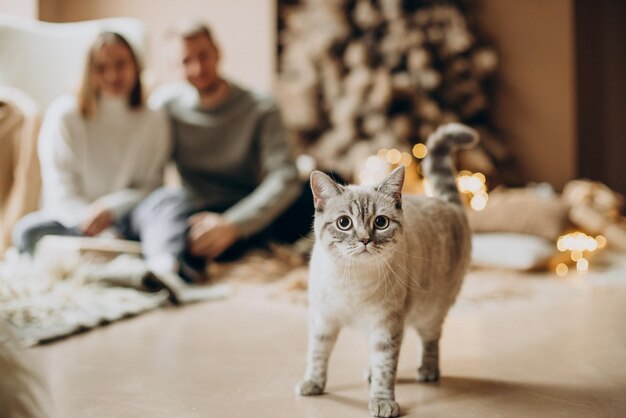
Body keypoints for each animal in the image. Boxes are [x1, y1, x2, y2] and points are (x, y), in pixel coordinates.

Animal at [294, 122, 476, 416]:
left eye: (380, 222)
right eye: (344, 223)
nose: (365, 240)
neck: (351, 280)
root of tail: (448, 203)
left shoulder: (386, 324)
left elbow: (386, 368)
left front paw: (382, 402)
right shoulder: (323, 319)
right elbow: (318, 354)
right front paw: (313, 384)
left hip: (430, 312)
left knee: (431, 339)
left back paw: (428, 371)